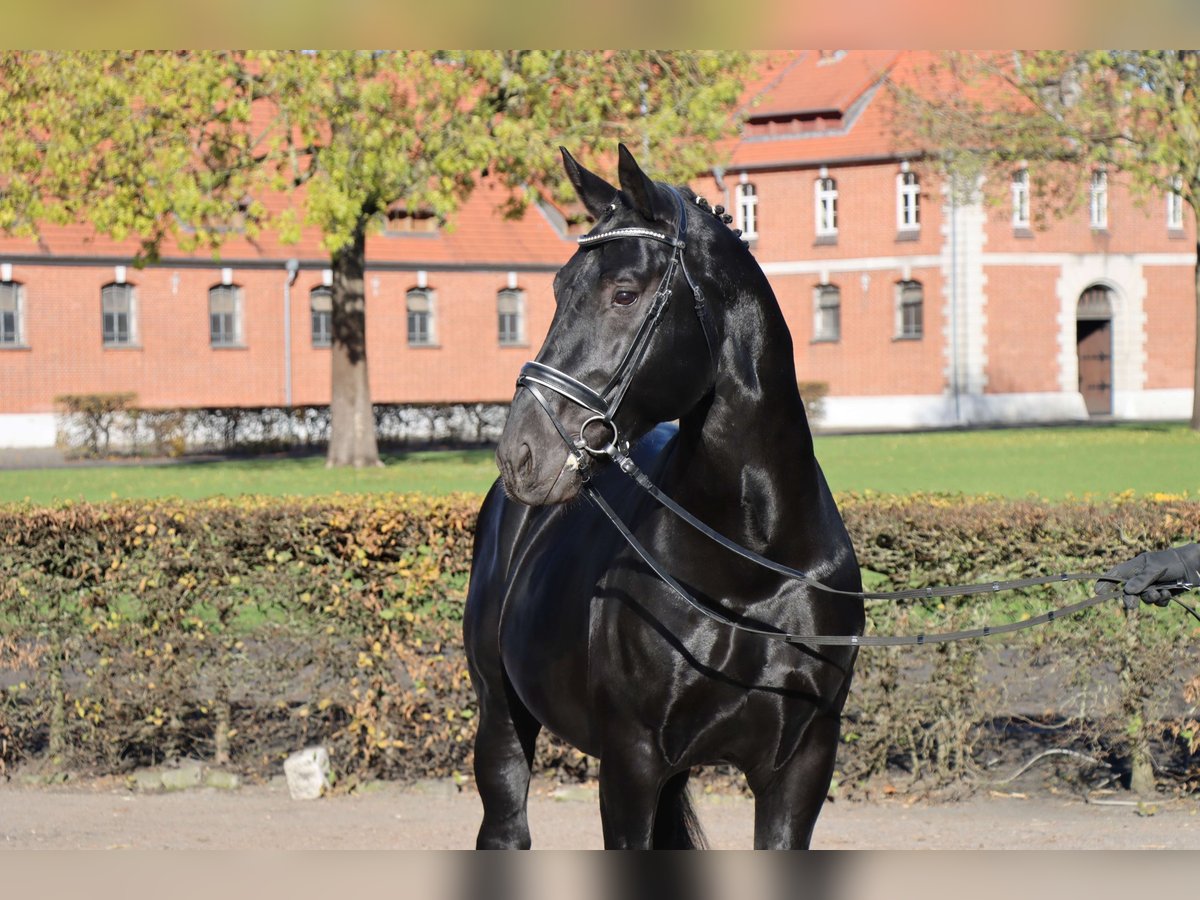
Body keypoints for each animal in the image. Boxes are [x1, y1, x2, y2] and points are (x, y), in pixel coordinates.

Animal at [463, 145, 864, 849]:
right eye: (558, 288)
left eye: (624, 293)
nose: (522, 454)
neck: (753, 558)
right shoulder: (632, 761)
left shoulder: (802, 765)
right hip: (501, 720)